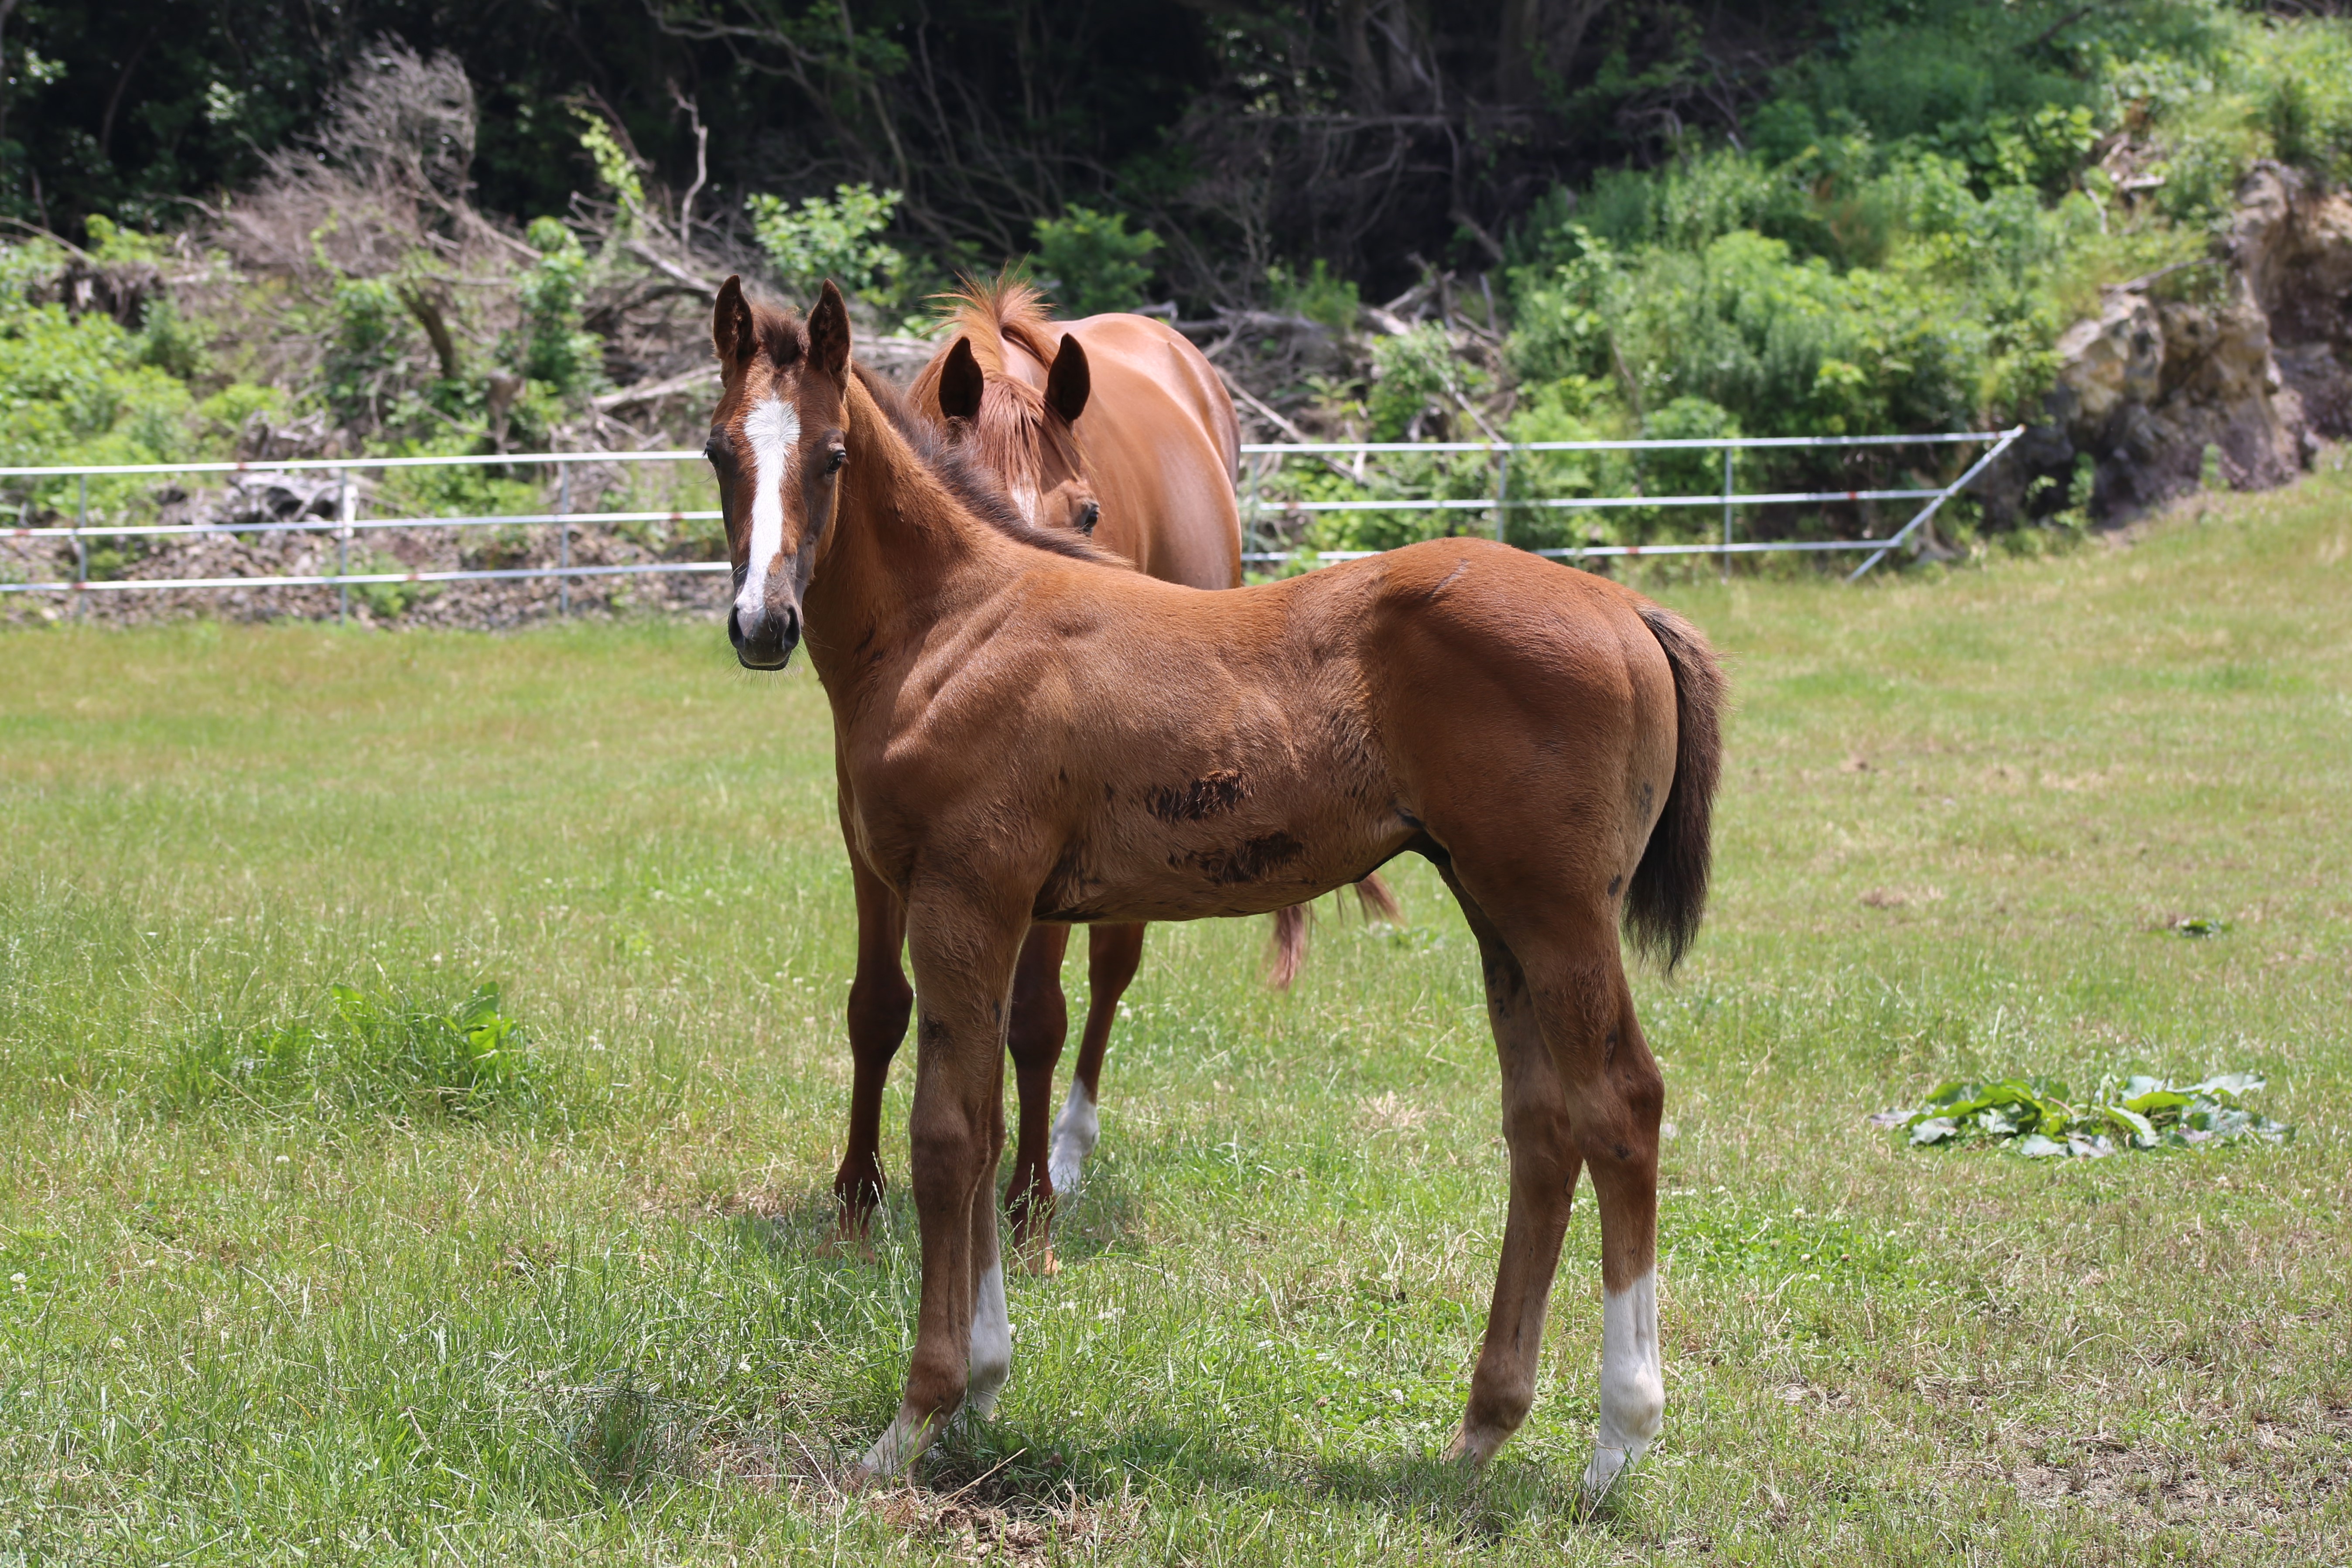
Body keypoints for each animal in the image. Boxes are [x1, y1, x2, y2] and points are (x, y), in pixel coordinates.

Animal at [832, 282, 1383, 1260]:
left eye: (1085, 515)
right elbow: (880, 1006)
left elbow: (1035, 1018)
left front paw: (1026, 1206)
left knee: (1107, 975)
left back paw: (1068, 1149)